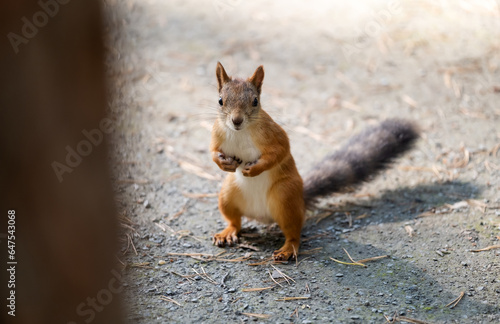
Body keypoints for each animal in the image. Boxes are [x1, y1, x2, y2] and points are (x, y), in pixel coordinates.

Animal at [208, 62, 418, 262]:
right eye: (220, 100)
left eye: (255, 101)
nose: (236, 120)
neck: (240, 132)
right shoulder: (217, 134)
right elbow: (213, 153)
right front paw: (223, 163)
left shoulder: (273, 135)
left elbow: (280, 152)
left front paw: (255, 169)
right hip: (227, 194)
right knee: (235, 221)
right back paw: (227, 233)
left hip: (285, 197)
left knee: (293, 232)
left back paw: (287, 249)